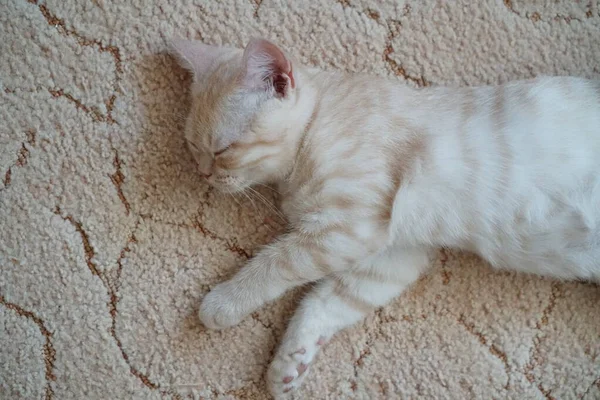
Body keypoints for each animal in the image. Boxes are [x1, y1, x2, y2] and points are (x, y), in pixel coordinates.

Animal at [170, 37, 600, 396]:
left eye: (222, 149)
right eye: (192, 146)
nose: (203, 174)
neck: (318, 123)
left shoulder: (350, 227)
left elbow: (274, 265)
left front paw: (223, 303)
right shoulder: (393, 254)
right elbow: (324, 302)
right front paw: (289, 364)